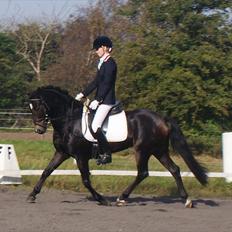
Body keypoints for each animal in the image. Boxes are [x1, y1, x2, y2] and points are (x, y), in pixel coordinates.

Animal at [27, 85, 208, 207]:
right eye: (31, 108)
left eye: (38, 107)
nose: (39, 130)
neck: (69, 121)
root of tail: (162, 119)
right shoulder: (62, 153)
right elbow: (46, 171)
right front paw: (32, 195)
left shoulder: (80, 156)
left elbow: (85, 180)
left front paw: (101, 199)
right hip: (158, 150)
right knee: (174, 169)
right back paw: (186, 200)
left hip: (142, 150)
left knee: (143, 173)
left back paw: (122, 197)